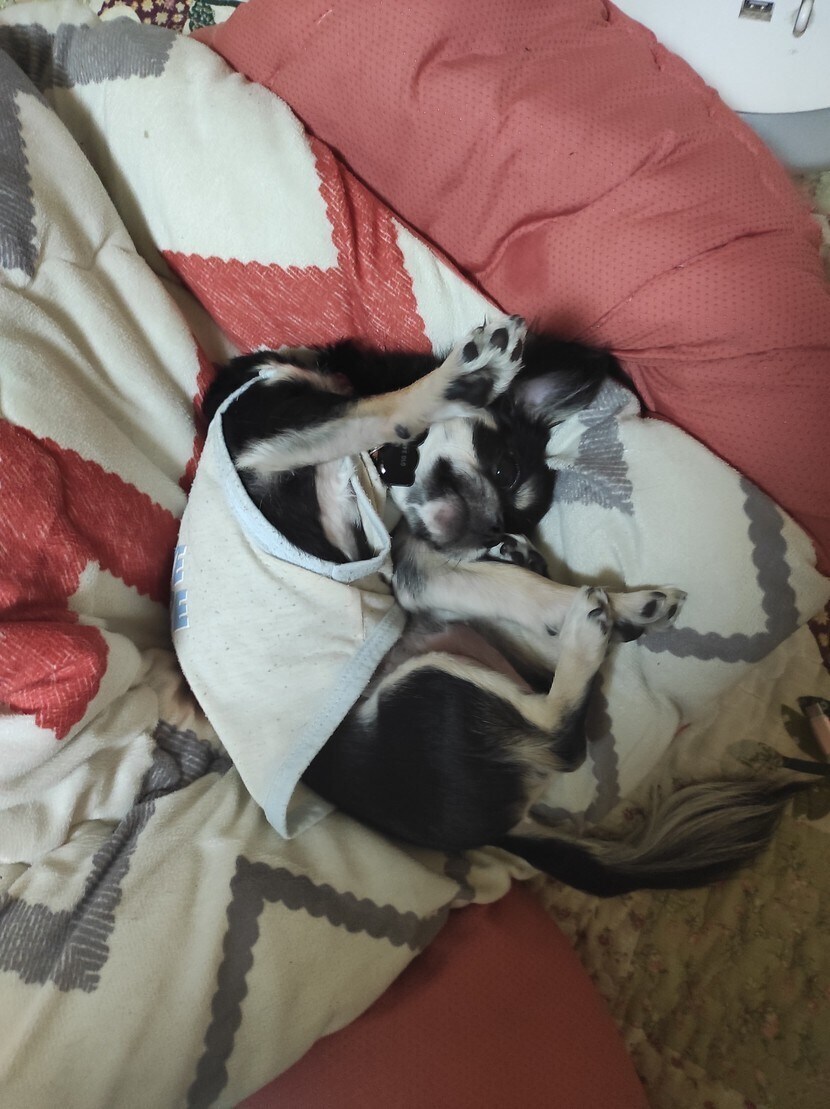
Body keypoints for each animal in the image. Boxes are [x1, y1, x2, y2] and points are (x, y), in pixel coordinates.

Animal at [203, 316, 802, 897]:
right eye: (505, 470)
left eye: (511, 510)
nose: (494, 531)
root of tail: (501, 833)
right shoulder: (267, 447)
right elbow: (374, 415)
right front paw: (467, 377)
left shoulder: (414, 572)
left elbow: (516, 585)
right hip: (432, 680)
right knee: (561, 736)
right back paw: (592, 622)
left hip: (440, 670)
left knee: (558, 722)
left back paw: (599, 610)